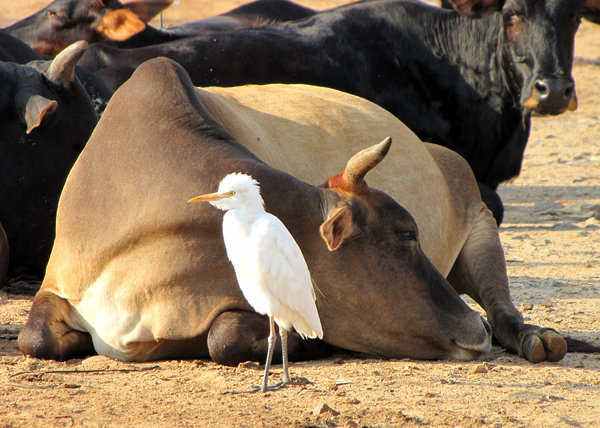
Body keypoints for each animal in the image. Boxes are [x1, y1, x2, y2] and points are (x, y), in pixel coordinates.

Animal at [18, 56, 568, 364]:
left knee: (503, 305)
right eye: (406, 234)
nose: (473, 330)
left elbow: (225, 336)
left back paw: (537, 337)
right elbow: (33, 338)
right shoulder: (57, 281)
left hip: (481, 226)